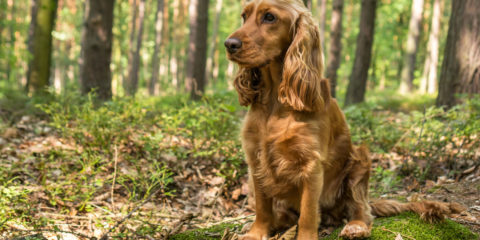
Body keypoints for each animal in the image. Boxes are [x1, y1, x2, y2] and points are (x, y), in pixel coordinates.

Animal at [225, 0, 464, 239]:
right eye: (244, 16)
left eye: (270, 17)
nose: (229, 44)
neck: (276, 99)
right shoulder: (255, 158)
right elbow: (262, 207)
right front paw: (256, 232)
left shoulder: (311, 164)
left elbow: (308, 213)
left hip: (360, 162)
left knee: (361, 210)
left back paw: (355, 226)